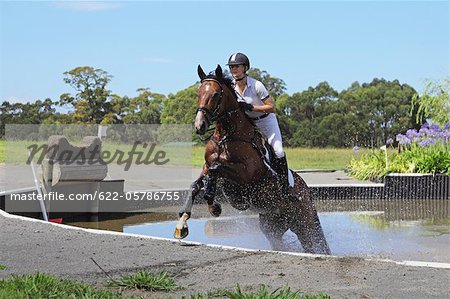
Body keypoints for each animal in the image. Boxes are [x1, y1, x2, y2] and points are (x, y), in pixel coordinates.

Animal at [174, 63, 332, 255]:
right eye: (199, 93)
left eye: (216, 94)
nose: (199, 126)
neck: (226, 136)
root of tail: (306, 189)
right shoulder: (207, 165)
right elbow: (196, 184)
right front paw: (182, 224)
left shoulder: (246, 173)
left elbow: (216, 169)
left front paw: (214, 206)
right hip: (273, 224)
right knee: (285, 242)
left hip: (305, 221)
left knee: (316, 243)